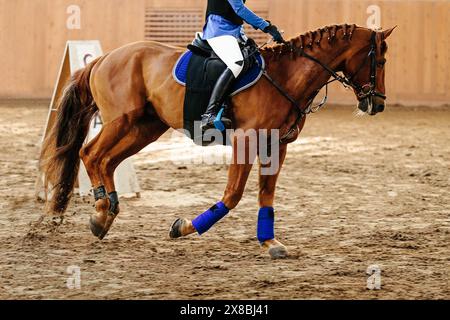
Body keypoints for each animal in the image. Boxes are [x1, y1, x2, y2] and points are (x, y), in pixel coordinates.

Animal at [41, 25, 394, 260]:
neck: (286, 76)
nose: (377, 105)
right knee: (90, 153)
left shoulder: (277, 144)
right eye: (379, 61)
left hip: (144, 128)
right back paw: (101, 211)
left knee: (106, 161)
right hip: (121, 121)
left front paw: (270, 243)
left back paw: (105, 213)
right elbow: (233, 195)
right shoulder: (245, 141)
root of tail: (101, 59)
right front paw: (183, 227)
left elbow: (266, 195)